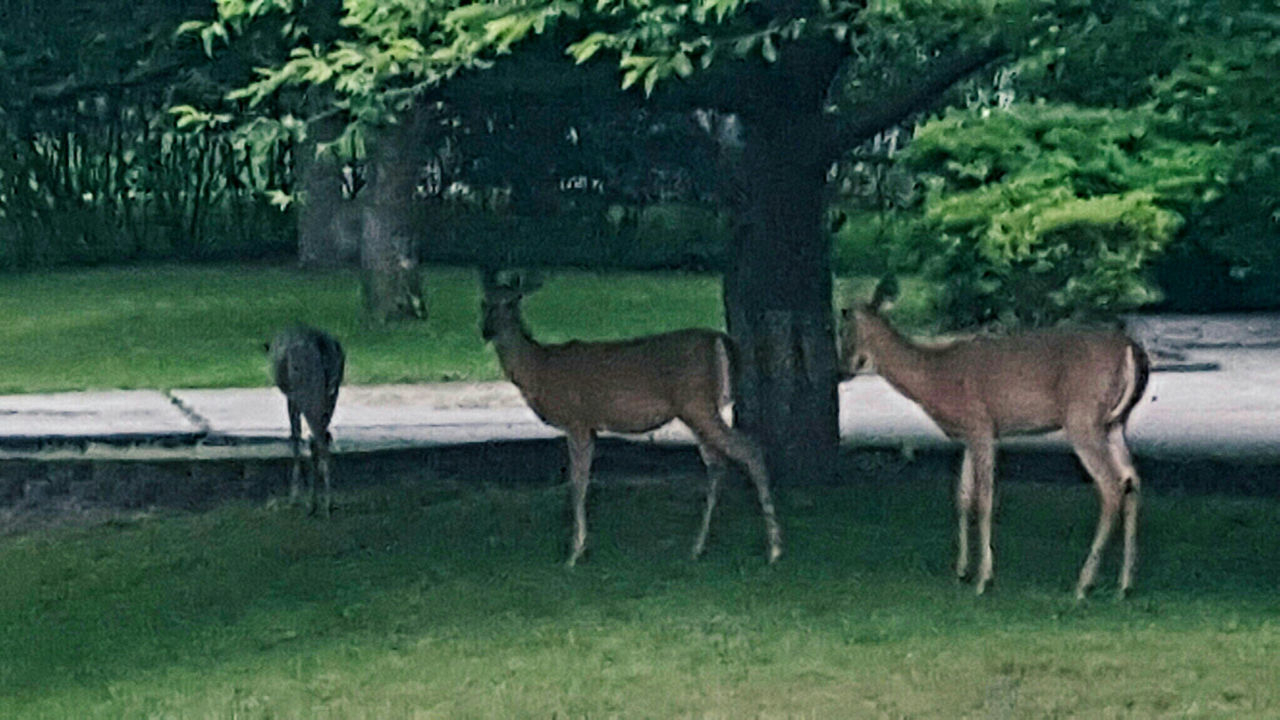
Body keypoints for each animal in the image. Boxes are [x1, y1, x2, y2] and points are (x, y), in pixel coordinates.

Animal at [266, 322, 345, 512]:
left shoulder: (292, 397)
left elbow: (295, 436)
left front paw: (294, 497)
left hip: (307, 392)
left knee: (318, 439)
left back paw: (323, 504)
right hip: (332, 394)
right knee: (323, 437)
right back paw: (320, 502)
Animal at [478, 266, 778, 563]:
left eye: (512, 302)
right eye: (483, 302)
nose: (486, 331)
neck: (539, 369)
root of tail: (721, 339)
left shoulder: (577, 419)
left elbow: (577, 482)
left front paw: (574, 553)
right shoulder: (588, 426)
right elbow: (581, 480)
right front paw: (580, 547)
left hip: (697, 403)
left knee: (749, 449)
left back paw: (773, 550)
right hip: (698, 409)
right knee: (718, 464)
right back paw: (698, 548)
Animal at [839, 278, 1152, 597]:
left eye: (845, 329)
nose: (845, 368)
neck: (934, 377)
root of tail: (1129, 347)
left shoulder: (981, 424)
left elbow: (984, 498)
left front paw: (983, 579)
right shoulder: (969, 435)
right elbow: (963, 496)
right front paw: (961, 571)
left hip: (1083, 417)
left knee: (1111, 485)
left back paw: (1083, 584)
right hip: (1114, 423)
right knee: (1132, 480)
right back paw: (1124, 585)